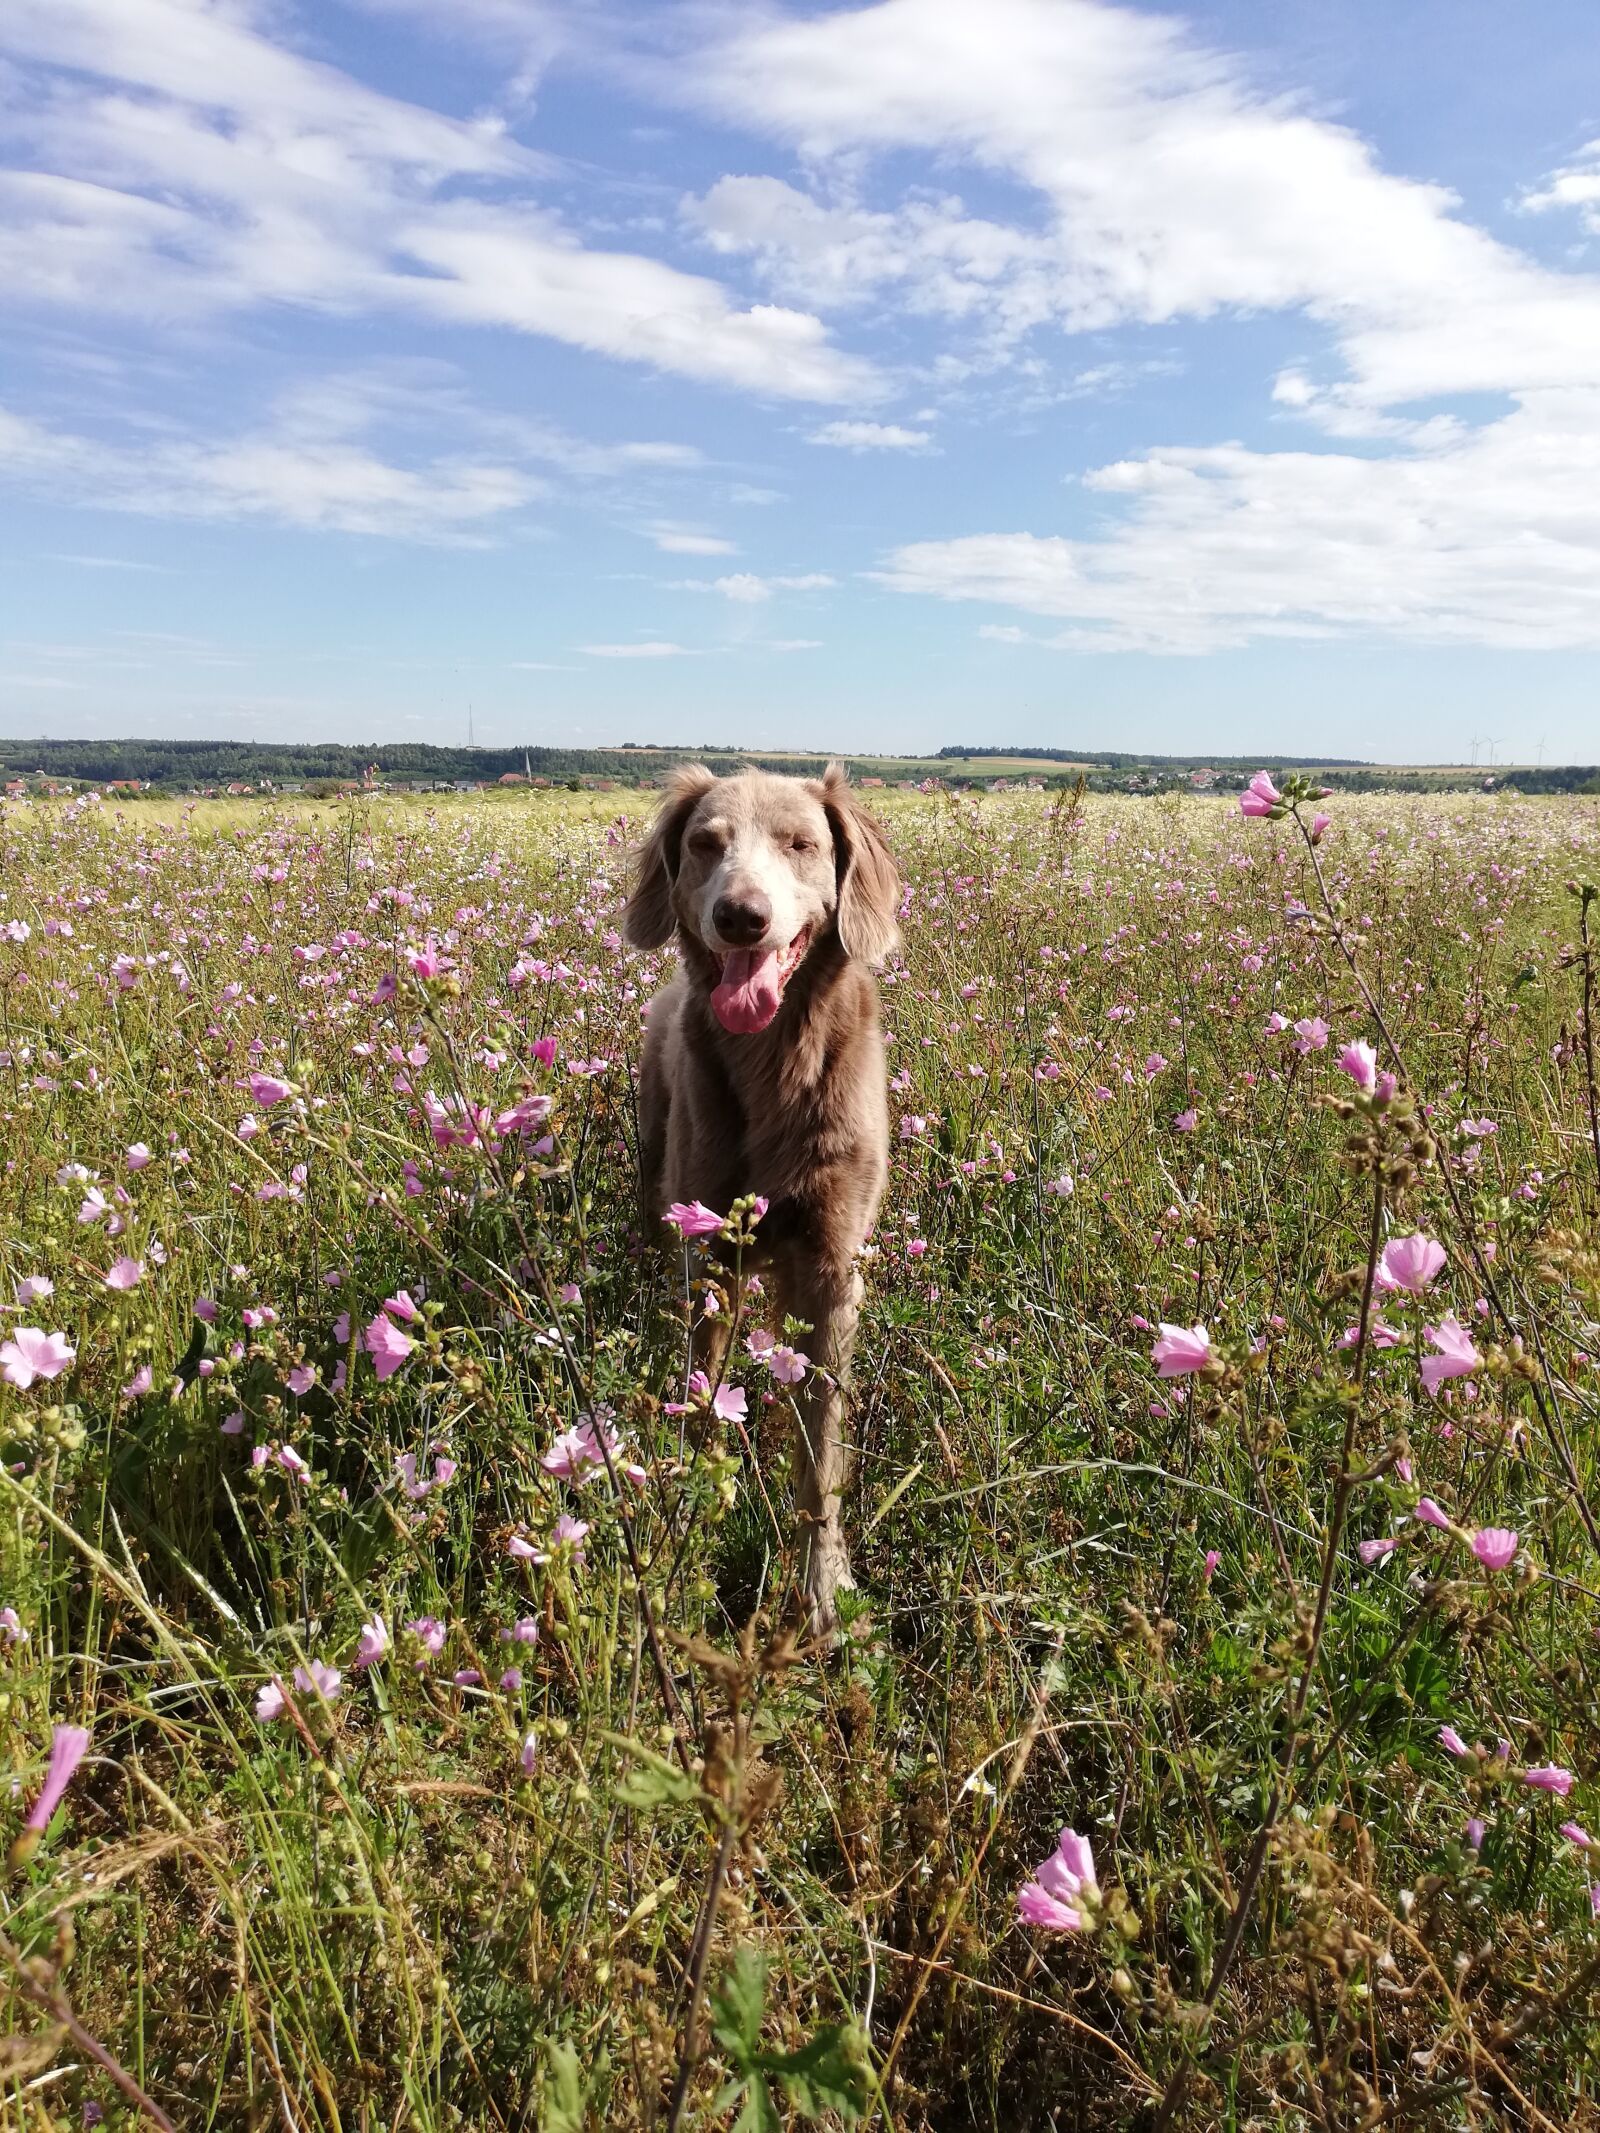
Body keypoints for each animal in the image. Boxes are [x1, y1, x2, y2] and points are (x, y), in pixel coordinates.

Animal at [622, 759, 904, 1621]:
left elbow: (822, 1452)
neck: (776, 1061)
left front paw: (821, 1585)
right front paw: (686, 1529)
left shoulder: (832, 1265)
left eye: (801, 843)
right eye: (705, 844)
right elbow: (703, 1404)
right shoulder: (708, 1246)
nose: (741, 917)